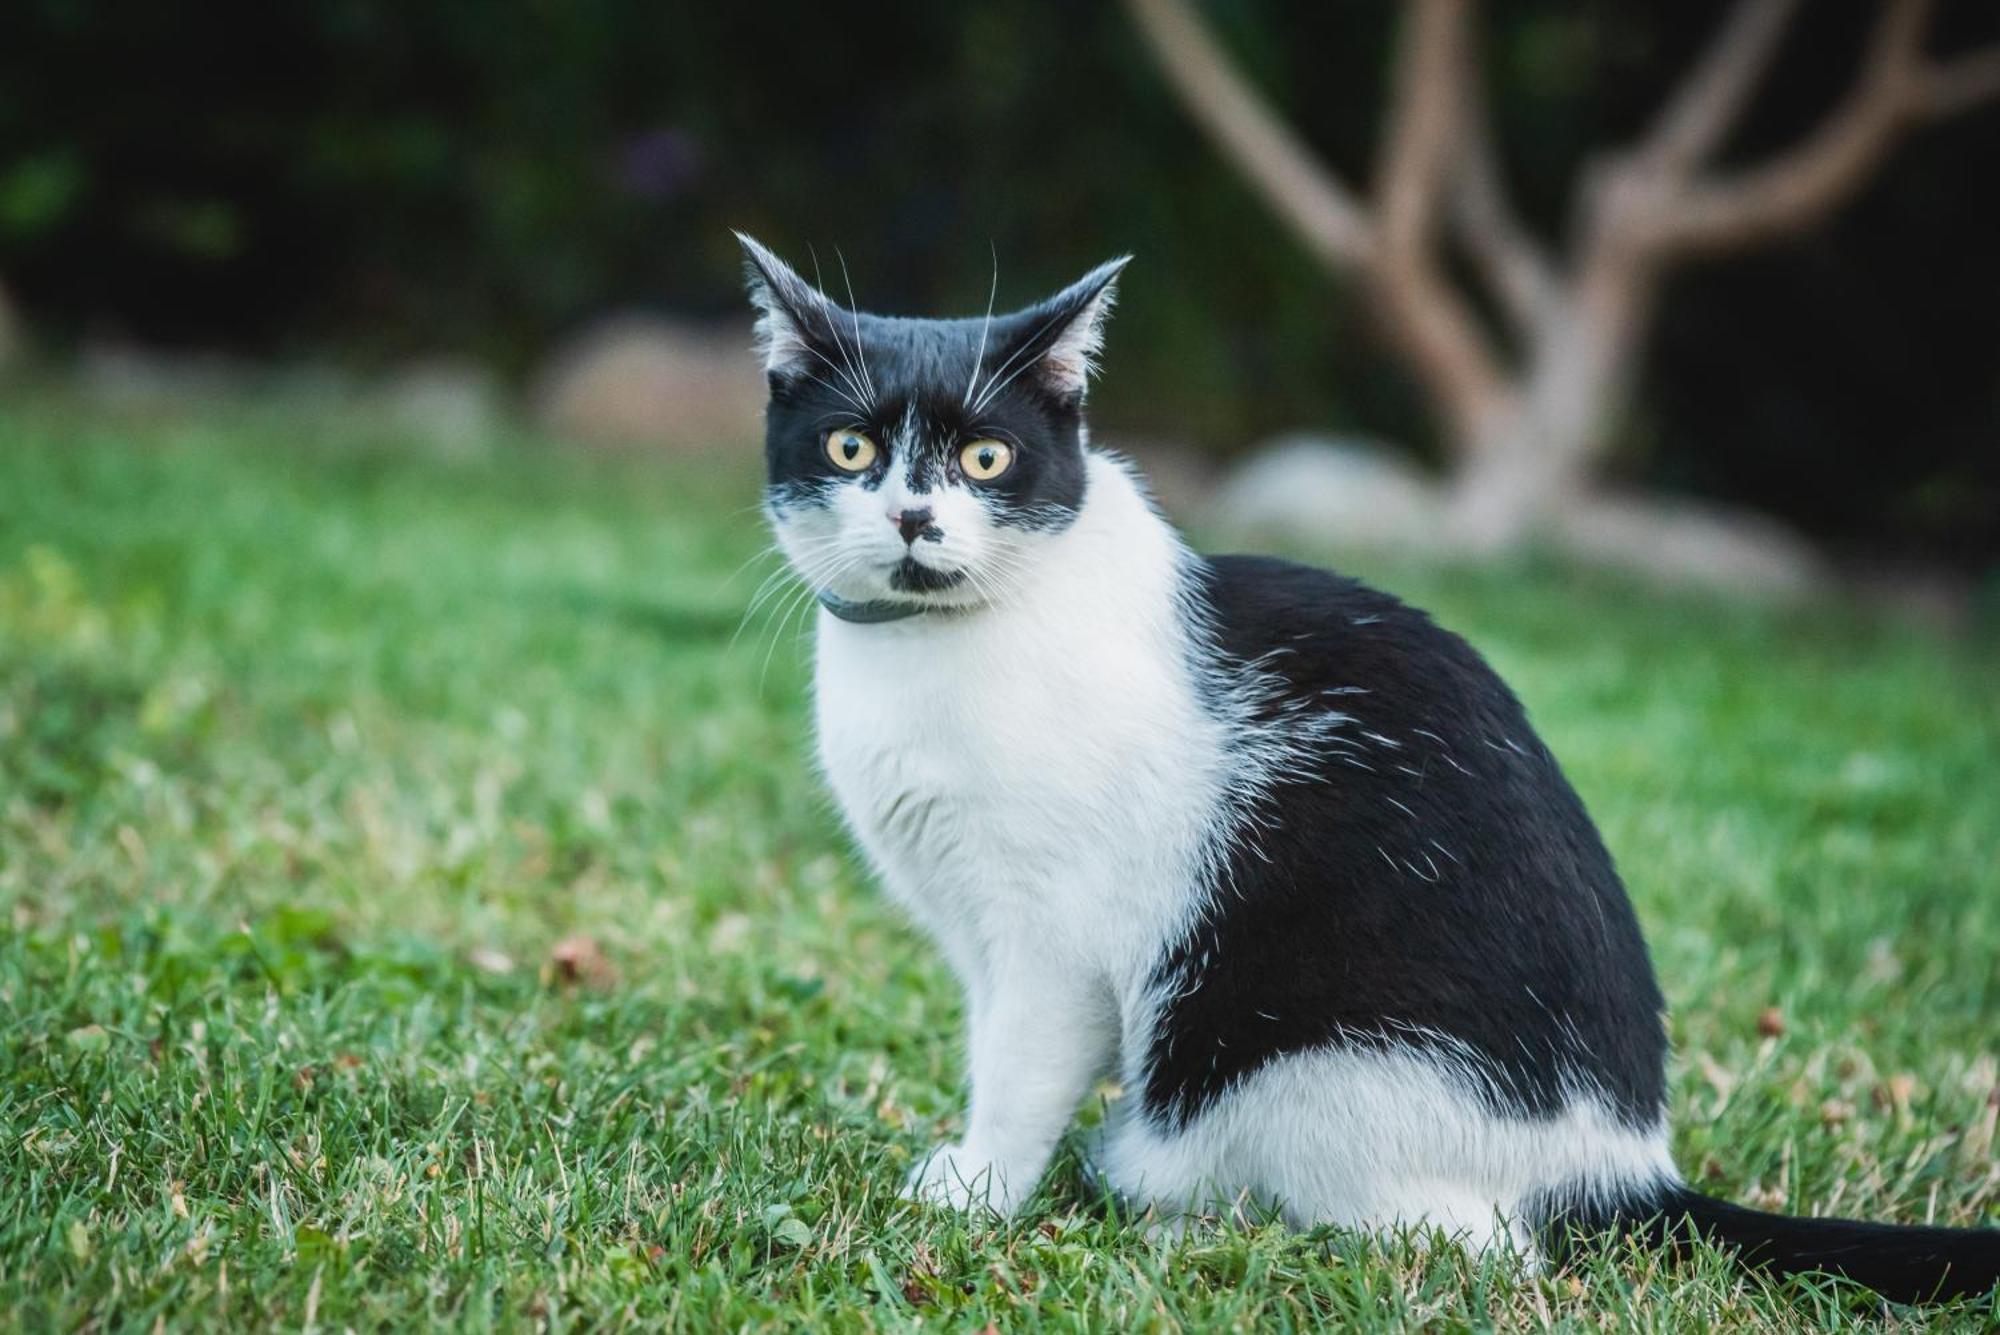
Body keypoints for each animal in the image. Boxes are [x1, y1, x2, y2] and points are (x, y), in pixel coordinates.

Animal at [740, 231, 2000, 1303]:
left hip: (1293, 1065)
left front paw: (977, 1193)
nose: (913, 516)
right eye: (851, 447)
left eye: (985, 456)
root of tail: (1619, 1165)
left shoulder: (1053, 940)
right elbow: (987, 1043)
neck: (936, 644)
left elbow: (1018, 1068)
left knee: (1472, 1243)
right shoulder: (977, 936)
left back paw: (1178, 1216)